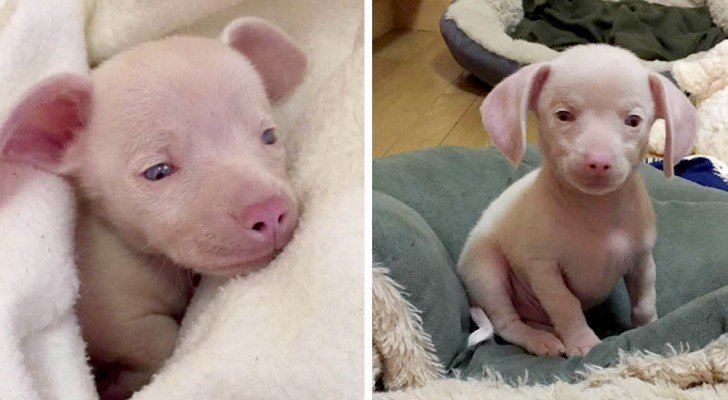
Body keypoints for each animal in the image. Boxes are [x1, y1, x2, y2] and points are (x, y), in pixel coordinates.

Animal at [0, 17, 306, 398]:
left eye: (269, 136)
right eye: (157, 171)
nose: (268, 212)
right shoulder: (110, 305)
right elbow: (159, 339)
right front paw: (120, 382)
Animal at [457, 44, 698, 357]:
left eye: (633, 121)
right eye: (563, 115)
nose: (599, 161)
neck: (596, 211)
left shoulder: (642, 260)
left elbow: (644, 302)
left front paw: (649, 328)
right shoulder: (543, 269)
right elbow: (565, 305)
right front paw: (583, 343)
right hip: (487, 271)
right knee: (506, 323)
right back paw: (538, 339)